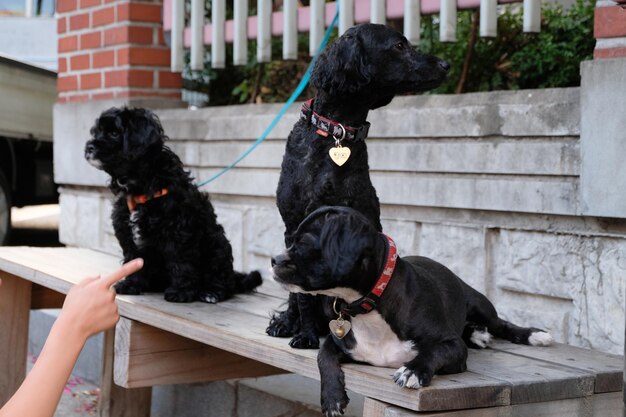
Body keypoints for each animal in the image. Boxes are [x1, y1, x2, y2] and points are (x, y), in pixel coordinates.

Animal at [84, 107, 260, 302]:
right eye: (96, 132)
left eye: (114, 133)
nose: (89, 147)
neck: (141, 185)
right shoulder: (126, 233)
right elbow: (133, 260)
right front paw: (131, 285)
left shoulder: (178, 230)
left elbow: (180, 261)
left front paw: (181, 292)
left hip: (217, 246)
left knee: (222, 276)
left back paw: (212, 292)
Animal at [266, 22, 450, 348]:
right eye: (399, 45)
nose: (446, 64)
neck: (336, 133)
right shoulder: (293, 225)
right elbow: (301, 296)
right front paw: (305, 333)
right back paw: (287, 322)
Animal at [270, 206, 552, 416]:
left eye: (304, 243)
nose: (273, 259)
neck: (370, 307)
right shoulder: (338, 341)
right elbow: (323, 357)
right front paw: (331, 399)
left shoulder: (453, 346)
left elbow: (434, 352)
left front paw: (413, 370)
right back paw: (477, 334)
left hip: (480, 304)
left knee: (501, 324)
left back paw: (532, 335)